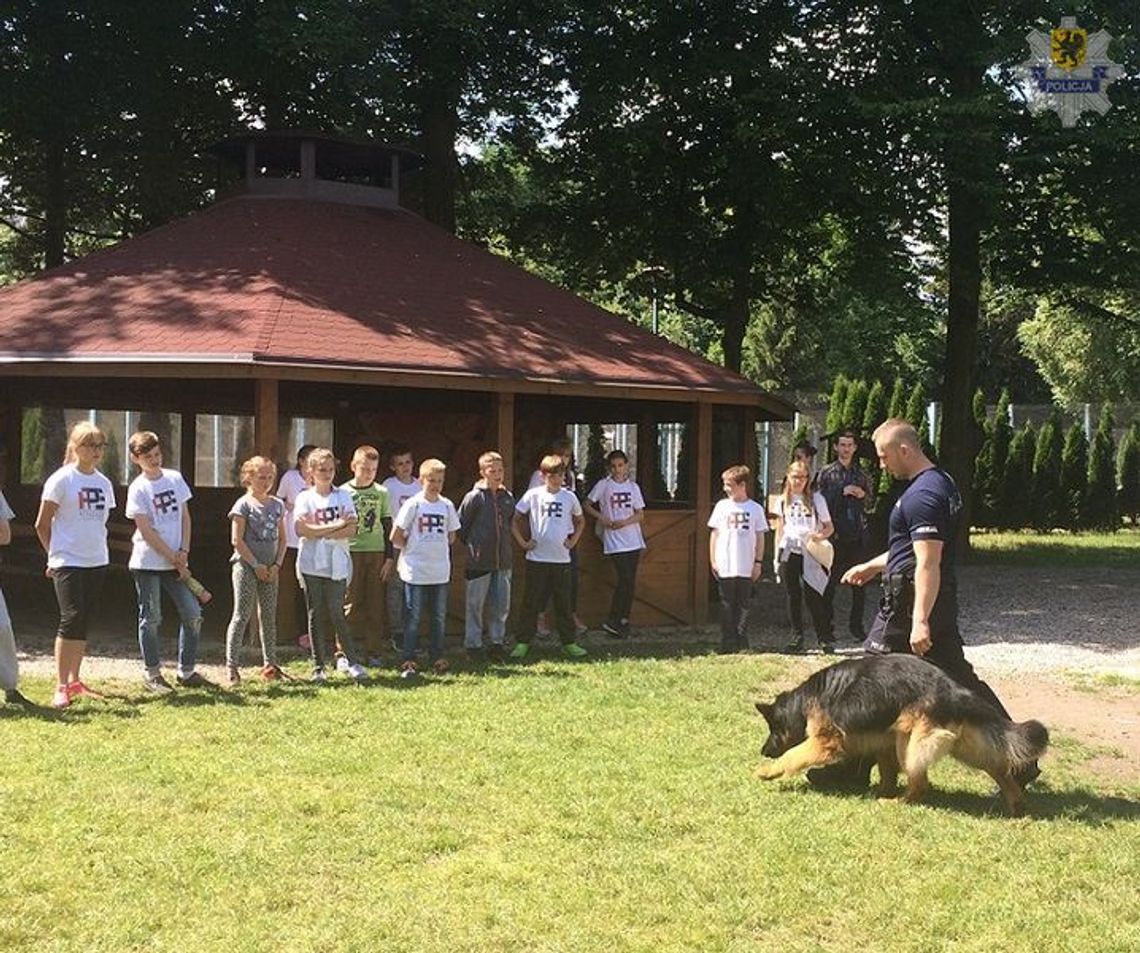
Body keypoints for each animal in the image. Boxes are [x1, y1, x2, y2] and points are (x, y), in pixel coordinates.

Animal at [756, 661, 1048, 816]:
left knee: (921, 785)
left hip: (911, 744)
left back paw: (898, 802)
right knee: (999, 768)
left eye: (773, 730)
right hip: (963, 747)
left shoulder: (824, 742)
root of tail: (957, 693)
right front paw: (881, 788)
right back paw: (1016, 802)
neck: (804, 700)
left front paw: (769, 771)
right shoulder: (882, 741)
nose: (763, 751)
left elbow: (791, 756)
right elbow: (886, 771)